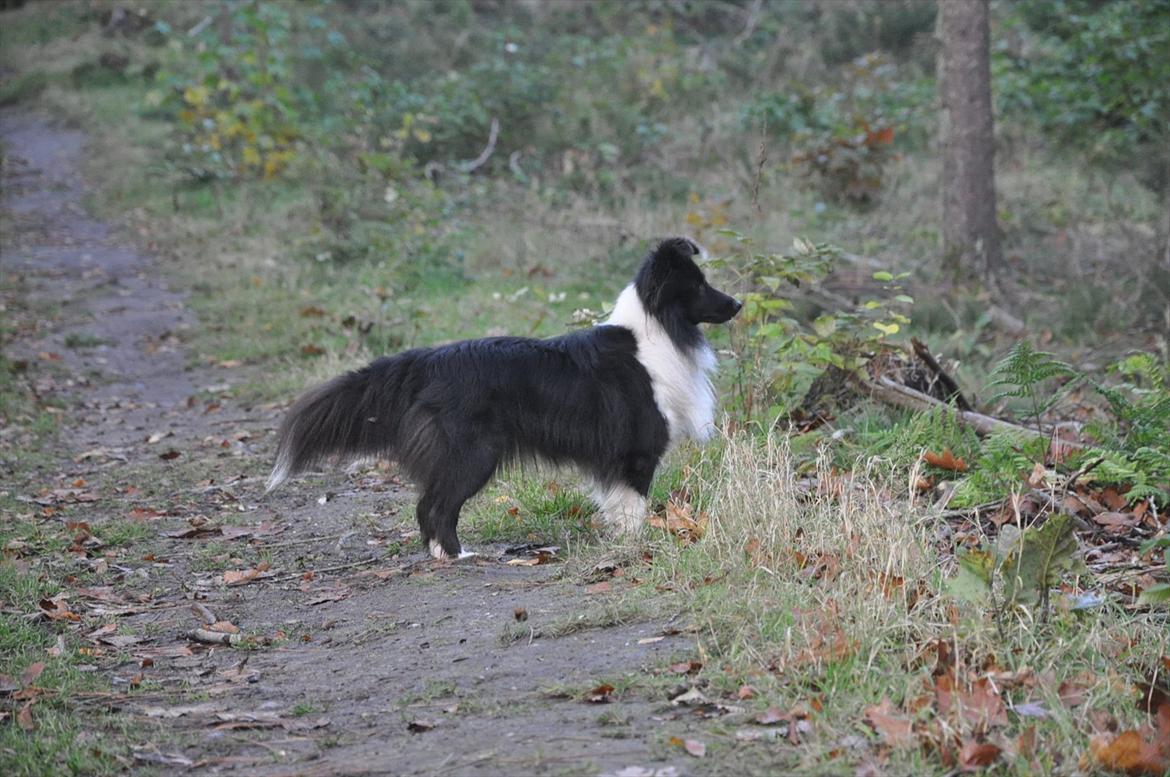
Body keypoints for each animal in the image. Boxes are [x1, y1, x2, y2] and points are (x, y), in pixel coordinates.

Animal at [266, 236, 739, 559]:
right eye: (698, 285)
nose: (736, 304)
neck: (654, 334)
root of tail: (427, 362)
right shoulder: (636, 451)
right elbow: (633, 505)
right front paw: (637, 545)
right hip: (473, 454)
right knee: (435, 505)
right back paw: (456, 554)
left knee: (428, 506)